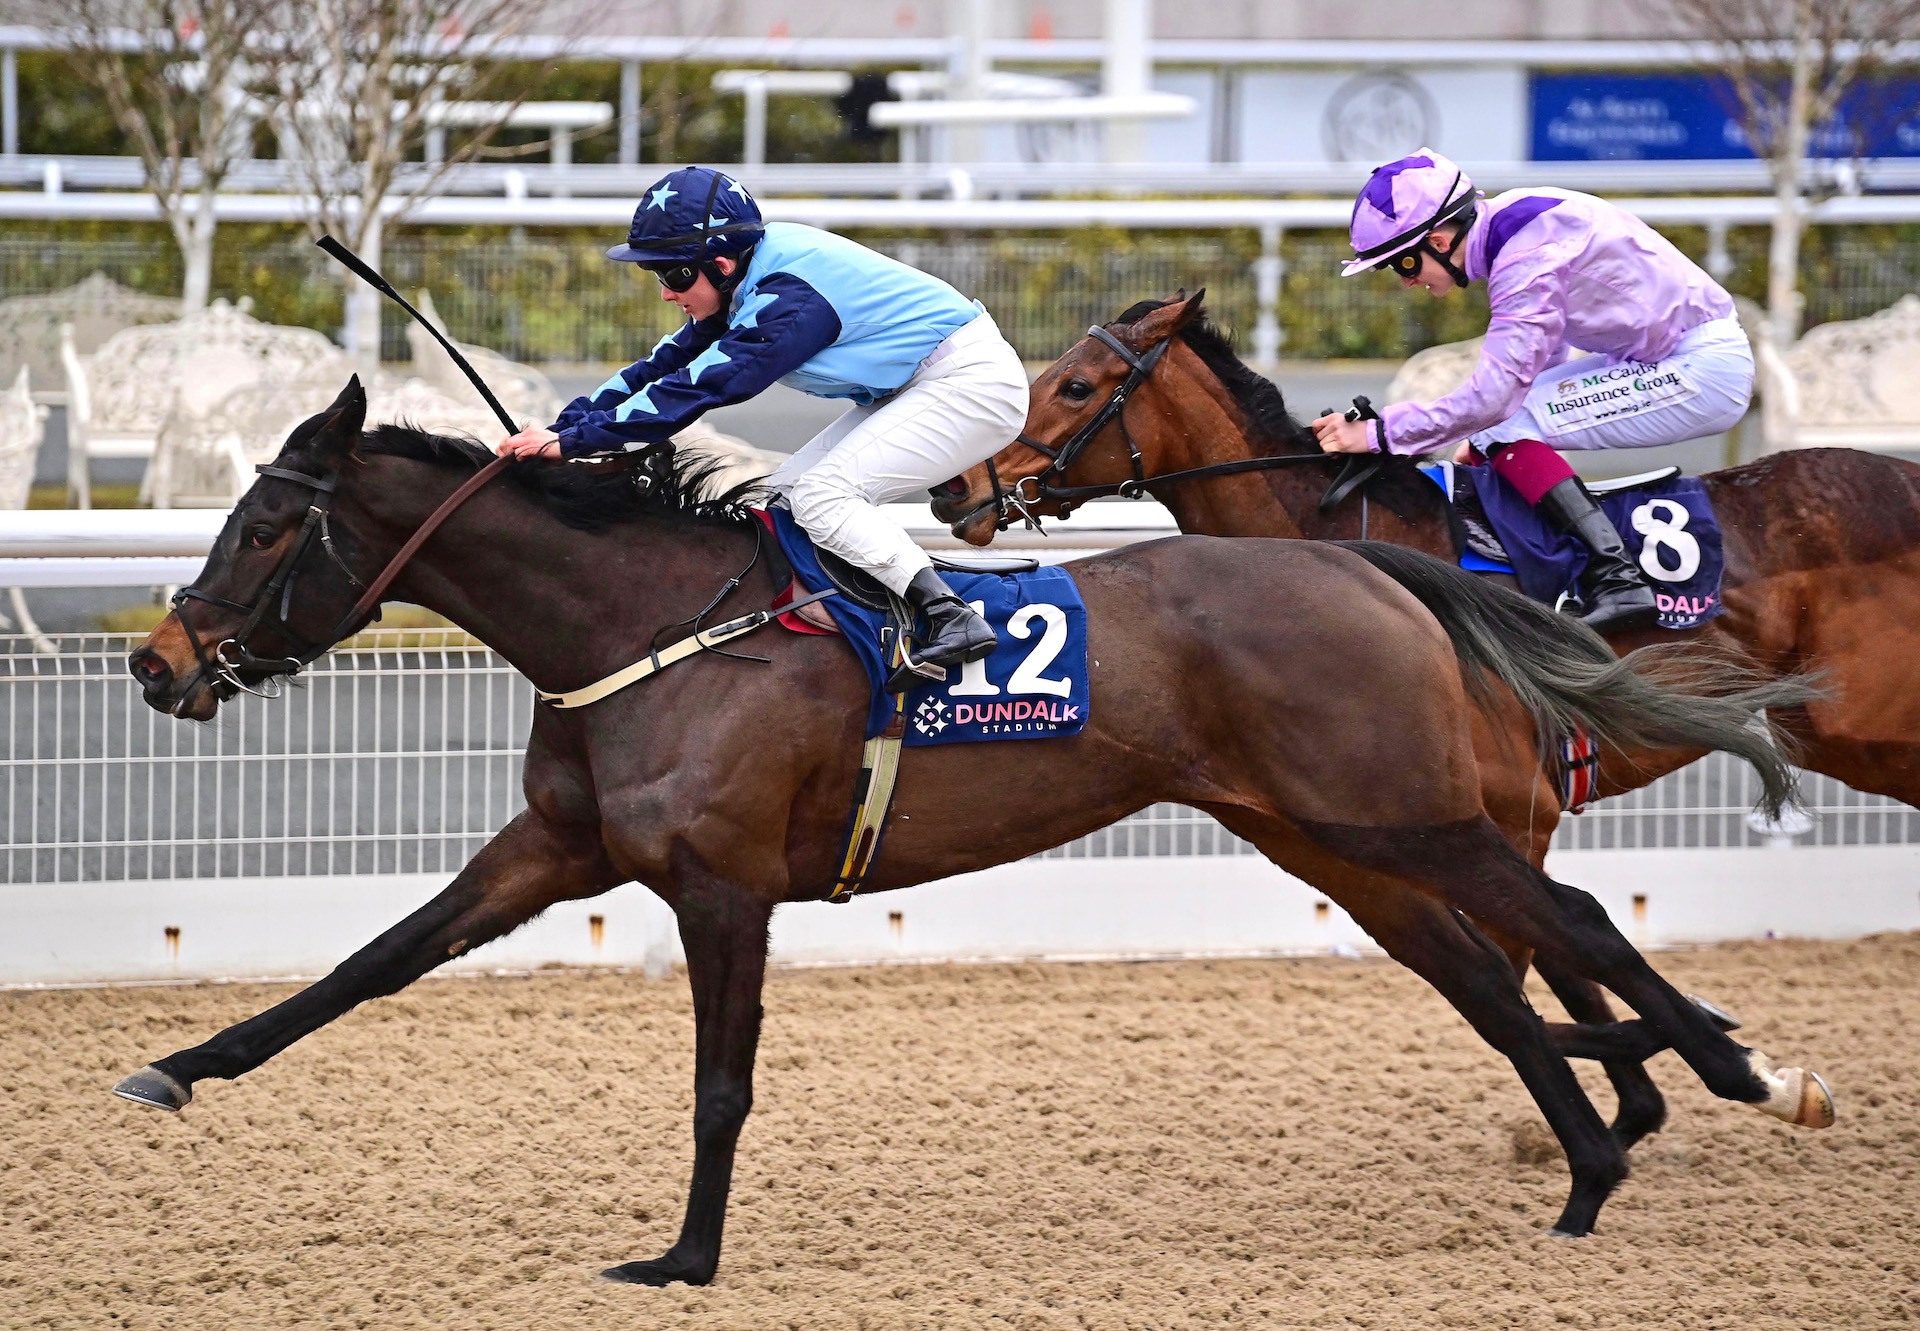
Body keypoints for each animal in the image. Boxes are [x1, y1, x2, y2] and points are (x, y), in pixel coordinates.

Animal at [116, 376, 1827, 1275]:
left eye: (261, 527)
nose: (156, 661)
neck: (649, 620)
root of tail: (1362, 560)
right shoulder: (562, 851)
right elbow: (368, 962)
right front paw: (175, 1068)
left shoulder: (723, 885)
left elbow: (721, 1082)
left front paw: (685, 1255)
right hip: (1337, 838)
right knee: (1487, 979)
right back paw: (1588, 1174)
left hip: (1400, 808)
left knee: (1575, 923)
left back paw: (1746, 1073)